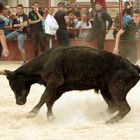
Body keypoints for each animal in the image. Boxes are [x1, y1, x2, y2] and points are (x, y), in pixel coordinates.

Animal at [0, 46, 139, 123]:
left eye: (13, 84)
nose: (19, 102)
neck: (44, 63)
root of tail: (134, 67)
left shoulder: (54, 82)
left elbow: (44, 97)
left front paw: (32, 112)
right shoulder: (58, 88)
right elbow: (49, 101)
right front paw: (51, 117)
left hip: (116, 89)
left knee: (124, 107)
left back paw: (109, 121)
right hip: (105, 90)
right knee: (113, 106)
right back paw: (96, 116)